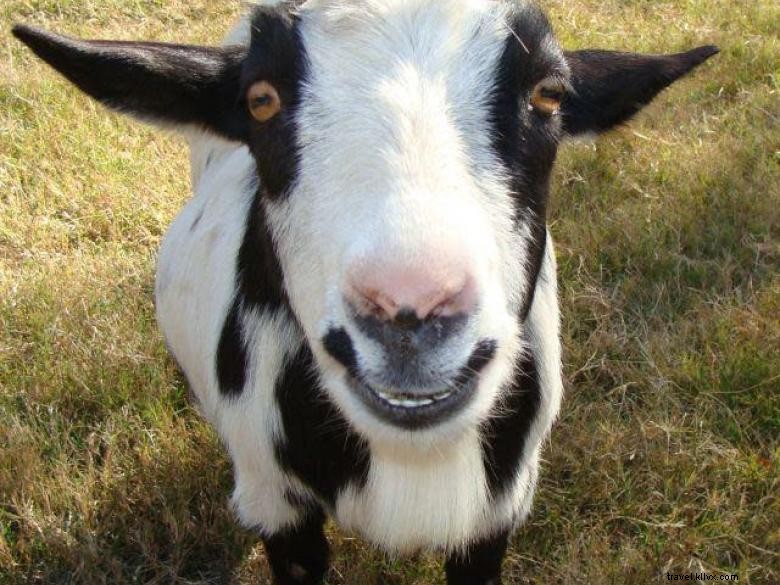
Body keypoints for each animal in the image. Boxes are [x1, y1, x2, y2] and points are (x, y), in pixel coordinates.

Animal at [13, 1, 717, 583]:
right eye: (260, 100)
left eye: (548, 95)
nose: (409, 307)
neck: (411, 462)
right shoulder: (280, 509)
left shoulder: (496, 517)